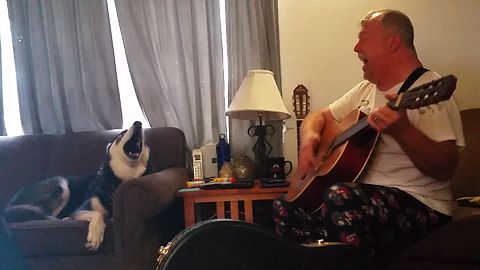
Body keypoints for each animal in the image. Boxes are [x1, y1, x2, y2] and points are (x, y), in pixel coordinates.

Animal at [2, 121, 150, 250]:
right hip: (61, 186)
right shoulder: (81, 208)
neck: (122, 178)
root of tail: (9, 205)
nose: (138, 123)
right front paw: (95, 235)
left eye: (144, 140)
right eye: (122, 134)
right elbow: (96, 213)